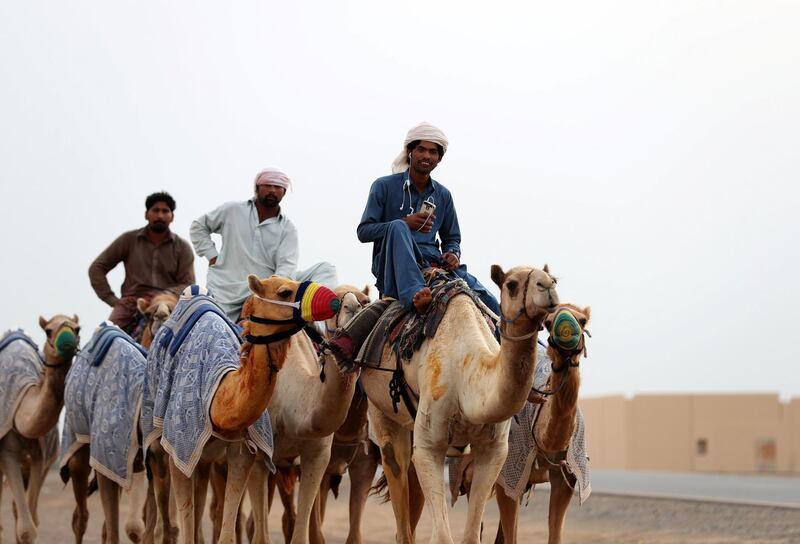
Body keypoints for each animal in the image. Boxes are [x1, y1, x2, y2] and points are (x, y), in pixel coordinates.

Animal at [0, 314, 80, 544]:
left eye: (77, 328)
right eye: (48, 330)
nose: (68, 343)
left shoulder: (42, 457)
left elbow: (32, 521)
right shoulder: (8, 452)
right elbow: (27, 528)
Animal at [145, 276, 340, 544]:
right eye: (284, 292)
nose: (333, 300)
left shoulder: (244, 451)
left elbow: (228, 532)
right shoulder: (179, 446)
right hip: (158, 440)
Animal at [245, 284, 364, 544]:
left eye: (364, 302)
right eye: (335, 302)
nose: (353, 307)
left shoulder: (318, 454)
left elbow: (304, 534)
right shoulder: (258, 455)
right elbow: (260, 536)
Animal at [360, 266, 560, 540]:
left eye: (554, 279)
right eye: (511, 284)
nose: (548, 287)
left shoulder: (494, 449)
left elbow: (472, 535)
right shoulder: (429, 446)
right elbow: (442, 536)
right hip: (381, 408)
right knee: (396, 465)